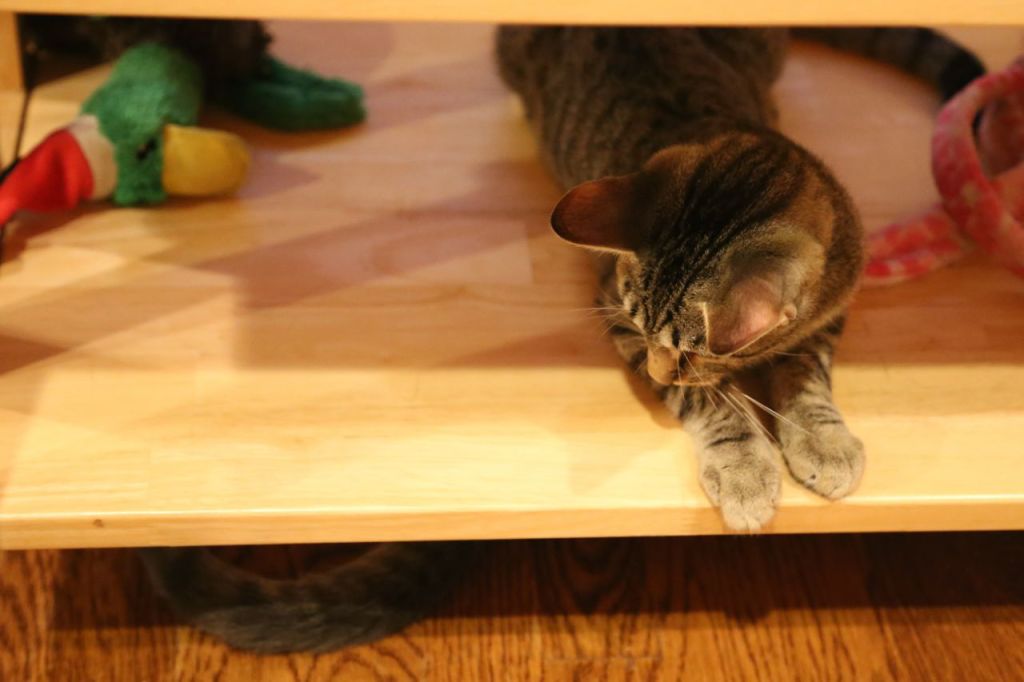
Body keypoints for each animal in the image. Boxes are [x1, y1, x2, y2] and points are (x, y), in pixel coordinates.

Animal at [138, 26, 983, 651]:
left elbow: (804, 374)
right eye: (646, 335)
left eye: (692, 345)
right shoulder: (613, 311)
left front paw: (820, 437)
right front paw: (745, 461)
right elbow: (715, 406)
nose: (656, 368)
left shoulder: (833, 308)